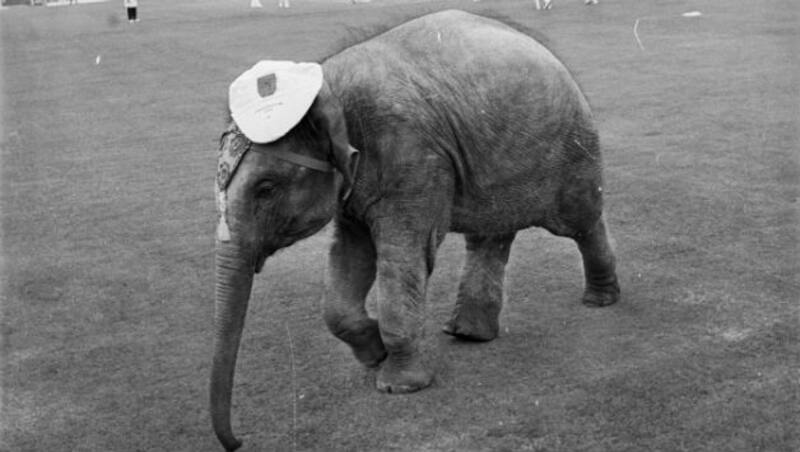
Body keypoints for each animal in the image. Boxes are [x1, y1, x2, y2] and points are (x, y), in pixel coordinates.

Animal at [210, 10, 620, 451]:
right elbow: (351, 260)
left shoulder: (413, 157)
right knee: (490, 236)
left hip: (570, 147)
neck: (328, 85)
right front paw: (374, 354)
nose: (238, 442)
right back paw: (469, 333)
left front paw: (399, 385)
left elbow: (404, 254)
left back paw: (600, 300)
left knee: (580, 220)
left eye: (265, 188)